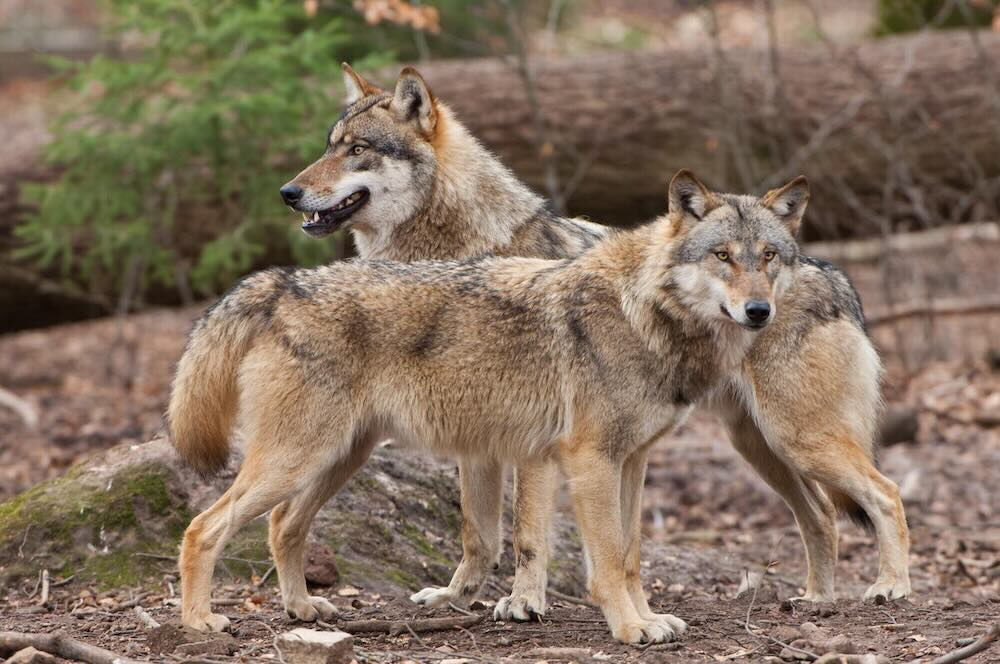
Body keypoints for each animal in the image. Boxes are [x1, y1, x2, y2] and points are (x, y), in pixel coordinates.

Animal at [169, 169, 804, 644]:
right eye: (722, 255)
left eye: (769, 257)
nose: (758, 311)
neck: (645, 311)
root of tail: (285, 284)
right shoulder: (590, 461)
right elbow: (604, 563)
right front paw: (628, 629)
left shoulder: (633, 462)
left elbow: (629, 556)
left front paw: (649, 619)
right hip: (297, 460)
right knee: (202, 527)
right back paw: (199, 621)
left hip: (337, 460)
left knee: (282, 526)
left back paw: (302, 610)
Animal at [275, 64, 911, 621]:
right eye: (329, 145)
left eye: (357, 149)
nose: (288, 192)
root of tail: (831, 273)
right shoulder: (481, 434)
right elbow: (478, 531)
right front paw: (457, 597)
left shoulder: (534, 441)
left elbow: (527, 533)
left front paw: (523, 603)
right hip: (762, 446)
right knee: (823, 515)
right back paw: (817, 599)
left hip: (799, 438)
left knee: (886, 495)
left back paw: (891, 587)